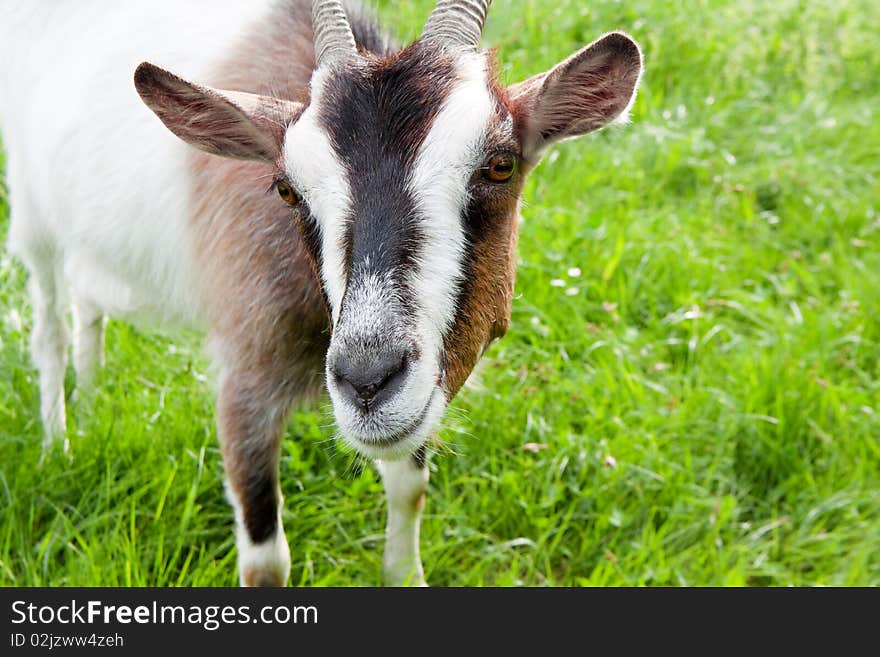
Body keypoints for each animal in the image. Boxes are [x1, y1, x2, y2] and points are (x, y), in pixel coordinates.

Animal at [0, 0, 644, 584]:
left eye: (500, 165)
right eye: (287, 189)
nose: (367, 381)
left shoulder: (419, 402)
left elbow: (409, 489)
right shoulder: (245, 381)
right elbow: (265, 561)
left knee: (87, 305)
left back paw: (92, 402)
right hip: (34, 222)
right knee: (50, 330)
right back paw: (60, 443)